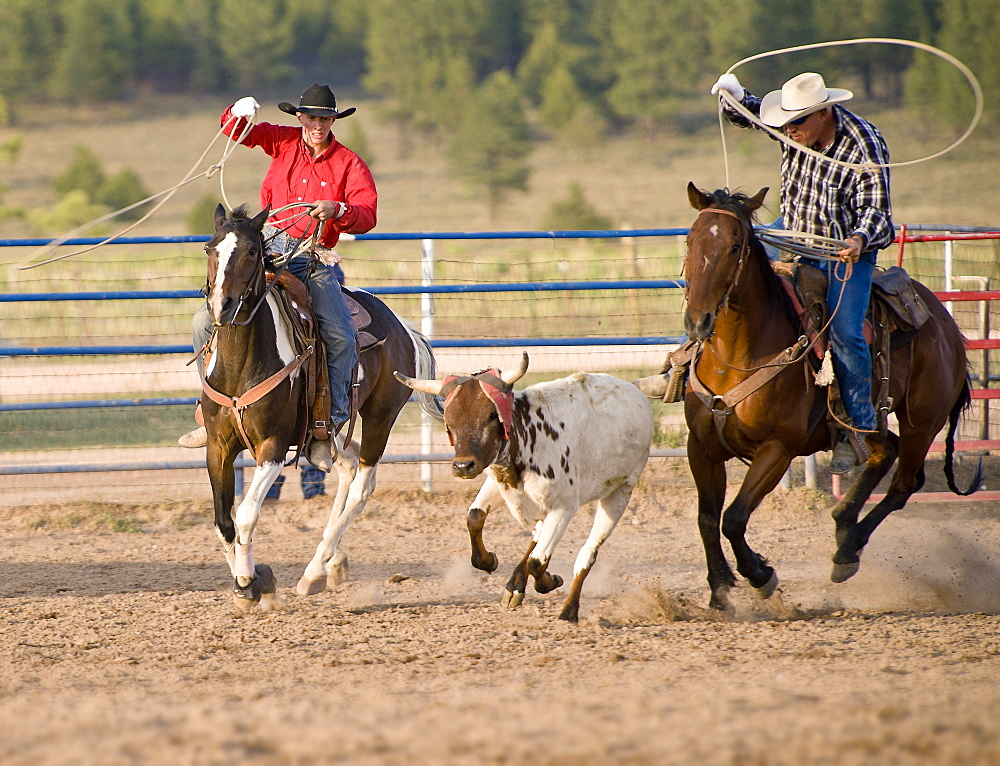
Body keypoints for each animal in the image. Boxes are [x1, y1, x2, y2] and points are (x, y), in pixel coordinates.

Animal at [201, 206, 440, 612]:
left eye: (252, 251)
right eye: (209, 248)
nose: (222, 305)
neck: (239, 366)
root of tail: (403, 327)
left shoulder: (273, 447)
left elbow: (246, 514)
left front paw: (249, 581)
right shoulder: (217, 448)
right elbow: (223, 522)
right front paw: (251, 581)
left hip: (380, 418)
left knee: (362, 485)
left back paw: (315, 571)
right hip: (325, 435)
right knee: (347, 466)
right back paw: (329, 564)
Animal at [394, 354, 652, 624]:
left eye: (490, 415)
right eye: (449, 420)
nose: (463, 466)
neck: (530, 435)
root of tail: (634, 390)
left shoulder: (563, 508)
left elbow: (538, 561)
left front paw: (549, 581)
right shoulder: (497, 478)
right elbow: (474, 517)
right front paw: (489, 560)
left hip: (620, 493)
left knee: (586, 553)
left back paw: (569, 610)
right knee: (536, 535)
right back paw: (516, 586)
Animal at [636, 184, 980, 612]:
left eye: (735, 246)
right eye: (690, 240)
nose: (697, 321)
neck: (739, 358)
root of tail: (946, 323)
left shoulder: (777, 449)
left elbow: (733, 517)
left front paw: (760, 575)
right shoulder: (701, 446)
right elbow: (707, 518)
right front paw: (719, 590)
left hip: (923, 420)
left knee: (903, 483)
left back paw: (847, 550)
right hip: (871, 420)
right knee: (885, 453)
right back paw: (844, 524)